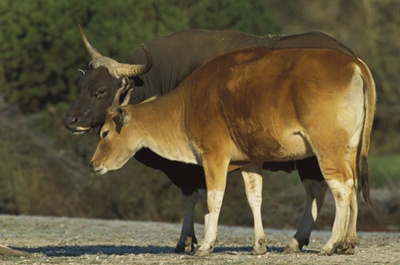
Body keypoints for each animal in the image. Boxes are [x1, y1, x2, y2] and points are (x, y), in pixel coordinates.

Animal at [64, 26, 358, 252]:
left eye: (101, 90)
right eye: (80, 86)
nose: (71, 121)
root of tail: (350, 57)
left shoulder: (196, 162)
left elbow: (202, 198)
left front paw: (194, 241)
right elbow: (193, 198)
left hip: (315, 153)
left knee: (321, 189)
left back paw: (304, 239)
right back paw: (347, 242)